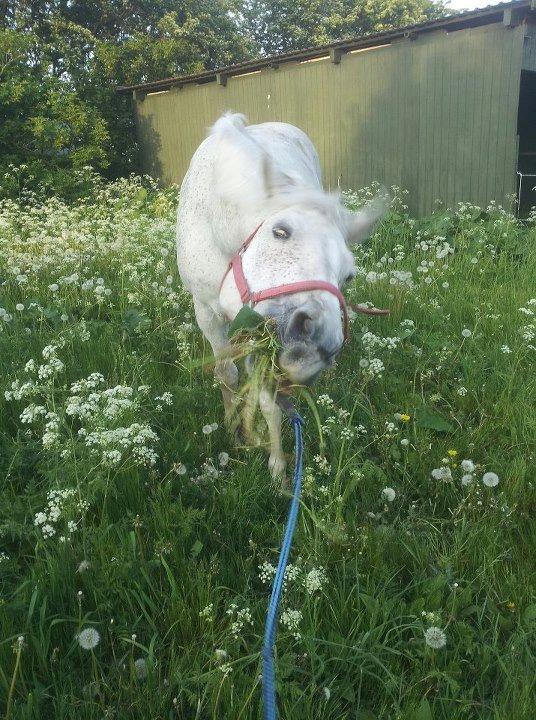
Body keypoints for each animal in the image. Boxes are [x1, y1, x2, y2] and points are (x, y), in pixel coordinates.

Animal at [177, 113, 385, 482]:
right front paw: (232, 431)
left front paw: (277, 467)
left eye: (348, 275)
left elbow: (267, 398)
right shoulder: (207, 312)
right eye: (280, 231)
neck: (219, 221)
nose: (318, 347)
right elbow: (227, 374)